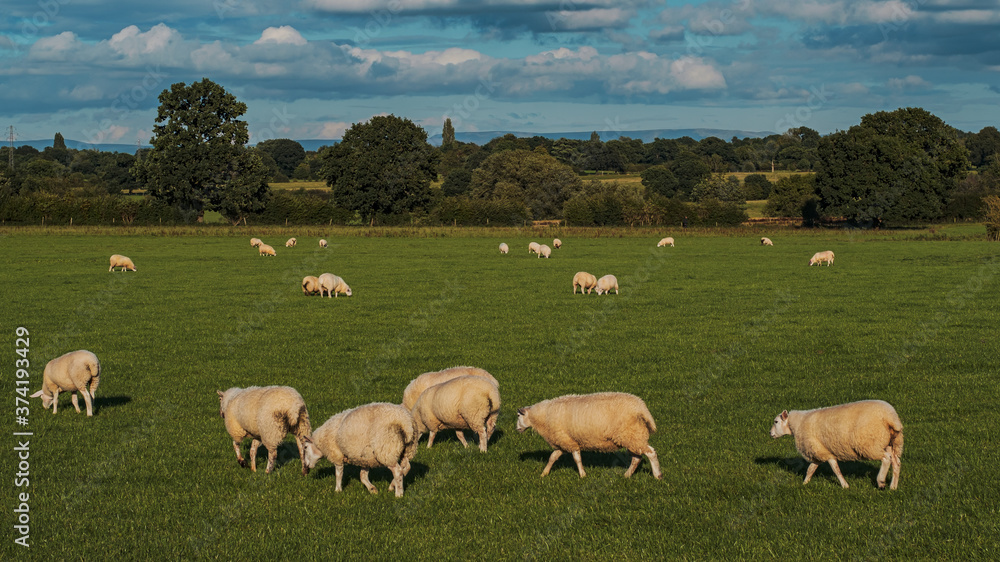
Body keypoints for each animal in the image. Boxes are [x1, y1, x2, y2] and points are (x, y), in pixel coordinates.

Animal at [516, 390, 664, 476]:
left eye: (518, 416)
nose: (517, 429)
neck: (543, 417)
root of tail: (641, 407)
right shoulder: (564, 441)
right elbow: (552, 457)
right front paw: (544, 473)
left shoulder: (569, 441)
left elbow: (577, 458)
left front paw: (582, 474)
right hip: (633, 436)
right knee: (637, 458)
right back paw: (627, 475)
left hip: (631, 435)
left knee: (651, 453)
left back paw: (657, 476)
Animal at [764, 398, 908, 486]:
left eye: (776, 421)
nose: (770, 434)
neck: (798, 424)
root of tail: (890, 417)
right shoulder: (820, 451)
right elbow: (812, 469)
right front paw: (805, 483)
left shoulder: (820, 450)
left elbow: (835, 469)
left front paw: (844, 485)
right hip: (891, 443)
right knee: (896, 461)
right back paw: (893, 487)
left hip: (870, 444)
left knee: (886, 458)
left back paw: (881, 481)